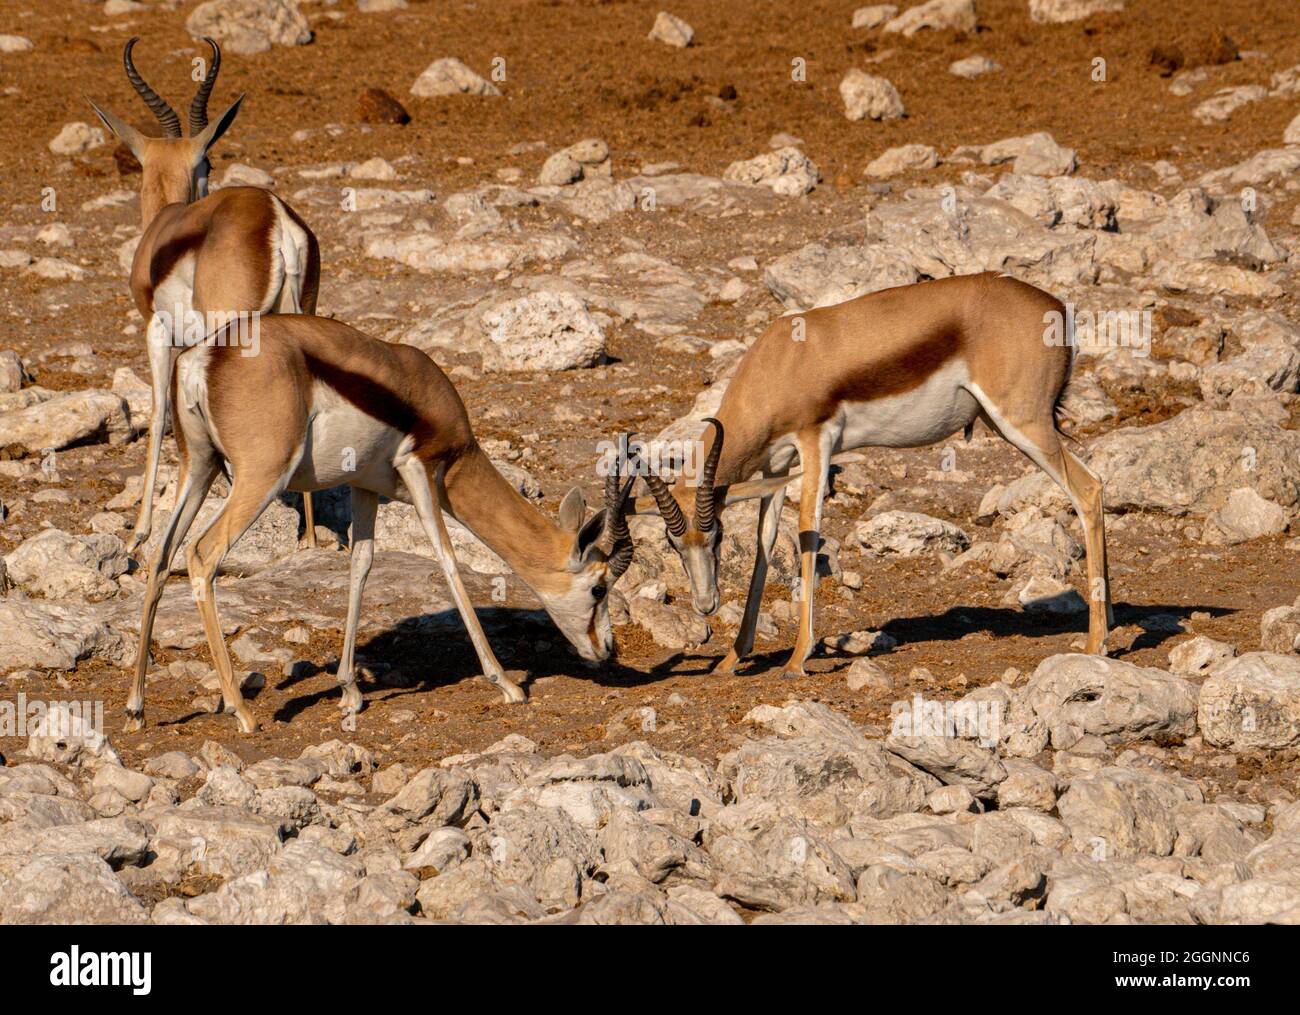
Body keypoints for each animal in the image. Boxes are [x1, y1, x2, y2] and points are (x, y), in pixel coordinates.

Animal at [86, 36, 323, 556]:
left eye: (208, 162)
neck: (167, 227)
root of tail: (276, 219)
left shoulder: (159, 336)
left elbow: (159, 417)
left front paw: (137, 535)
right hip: (303, 318)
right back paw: (312, 540)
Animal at [127, 315, 638, 733]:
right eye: (599, 587)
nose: (607, 649)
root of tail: (206, 355)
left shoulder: (364, 486)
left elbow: (361, 566)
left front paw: (350, 691)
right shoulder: (420, 470)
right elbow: (447, 561)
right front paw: (508, 684)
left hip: (200, 466)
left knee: (160, 557)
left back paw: (137, 707)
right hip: (261, 476)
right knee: (201, 554)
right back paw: (242, 711)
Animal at [638, 271, 1113, 678]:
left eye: (715, 535)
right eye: (673, 543)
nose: (705, 605)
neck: (783, 360)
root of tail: (1056, 308)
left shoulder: (815, 442)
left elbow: (808, 529)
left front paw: (797, 658)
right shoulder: (775, 465)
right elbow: (764, 543)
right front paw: (732, 658)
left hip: (1022, 422)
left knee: (1089, 488)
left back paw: (1096, 645)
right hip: (1004, 424)